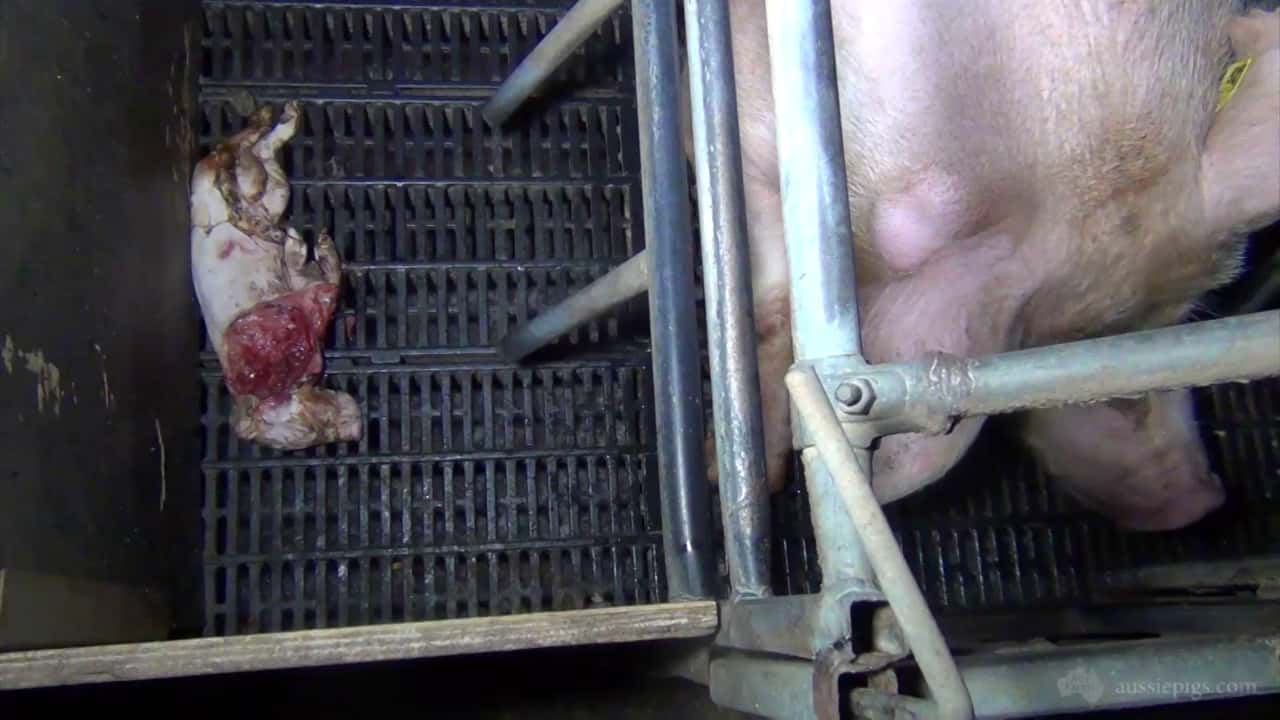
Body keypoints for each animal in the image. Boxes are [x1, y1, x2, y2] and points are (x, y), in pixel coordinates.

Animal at [186, 101, 363, 448]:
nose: (354, 426)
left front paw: (306, 245)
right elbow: (323, 279)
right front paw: (309, 246)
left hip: (258, 185)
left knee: (248, 157)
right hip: (246, 186)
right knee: (241, 158)